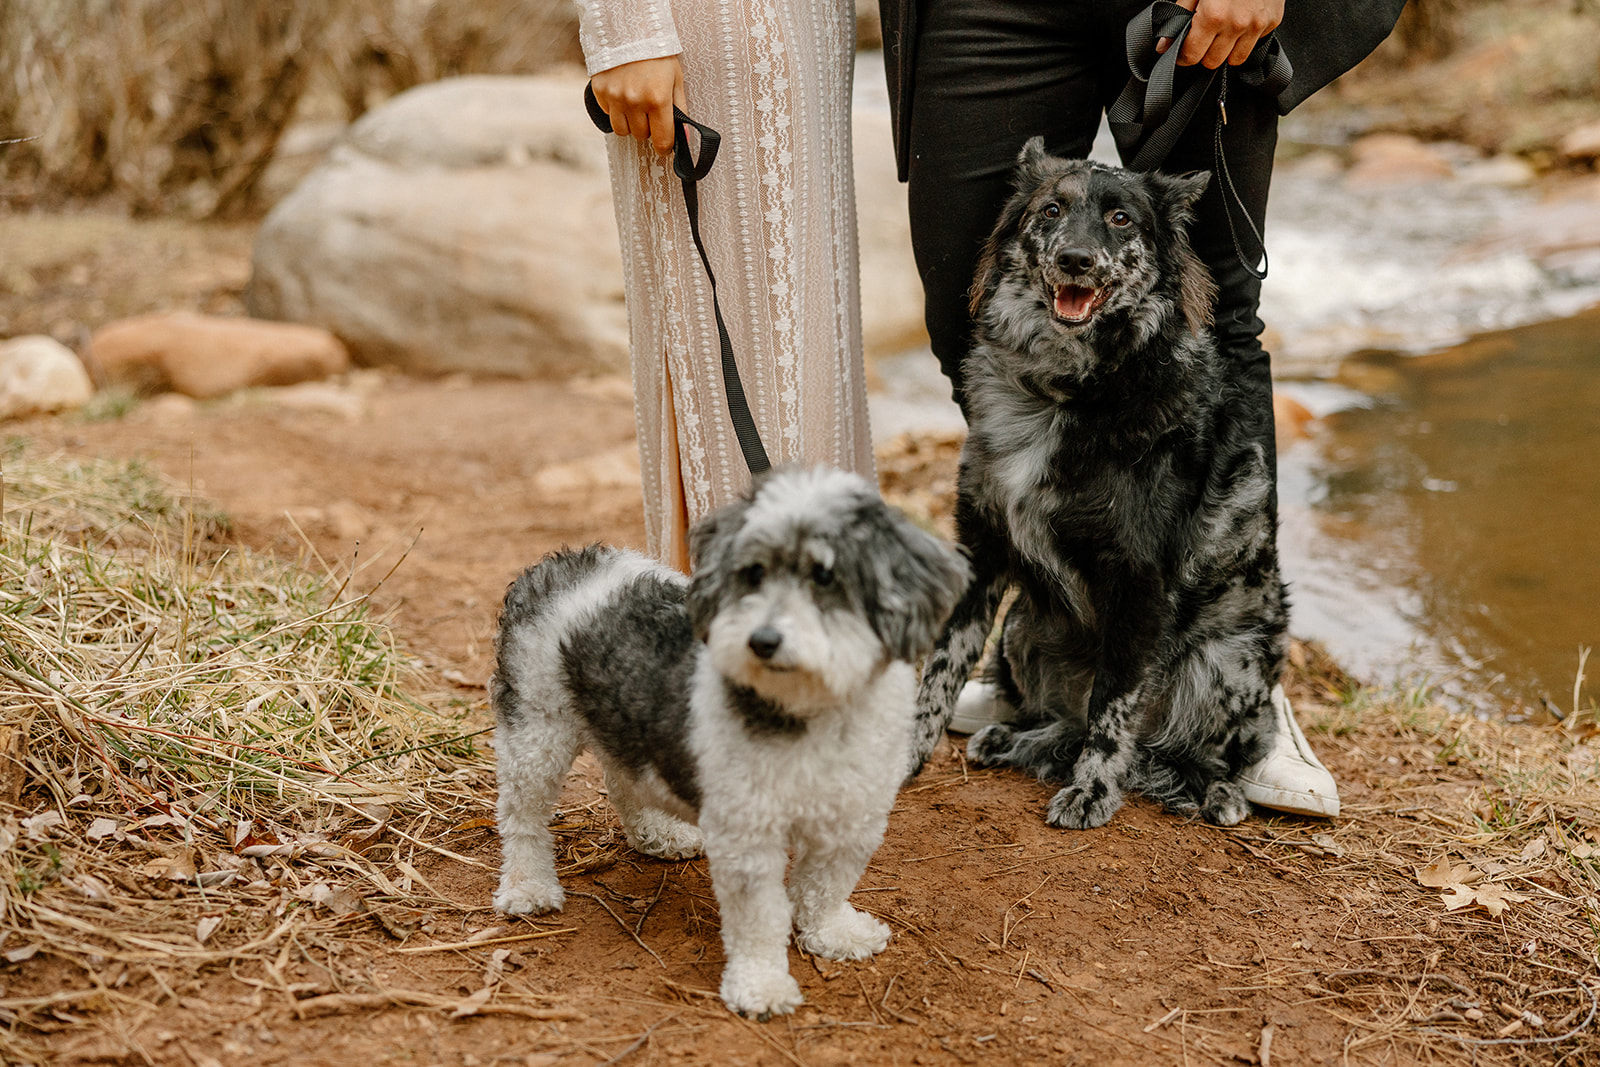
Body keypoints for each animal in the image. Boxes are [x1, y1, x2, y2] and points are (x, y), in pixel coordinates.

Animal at [489, 467, 960, 1017]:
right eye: (752, 573)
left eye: (825, 576)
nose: (763, 641)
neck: (814, 709)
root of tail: (562, 563)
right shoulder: (747, 835)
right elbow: (759, 916)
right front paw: (762, 985)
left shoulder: (852, 818)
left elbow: (825, 885)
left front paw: (831, 933)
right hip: (537, 729)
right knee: (522, 817)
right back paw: (528, 886)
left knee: (624, 776)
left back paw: (657, 834)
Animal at [915, 137, 1286, 831]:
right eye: (1052, 209)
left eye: (1121, 219)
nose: (1075, 260)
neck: (1066, 391)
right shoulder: (981, 550)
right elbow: (941, 665)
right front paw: (904, 753)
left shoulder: (1138, 579)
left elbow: (1113, 709)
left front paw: (1092, 791)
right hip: (1022, 628)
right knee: (1070, 721)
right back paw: (1015, 738)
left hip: (1223, 663)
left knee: (1192, 748)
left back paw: (1217, 791)